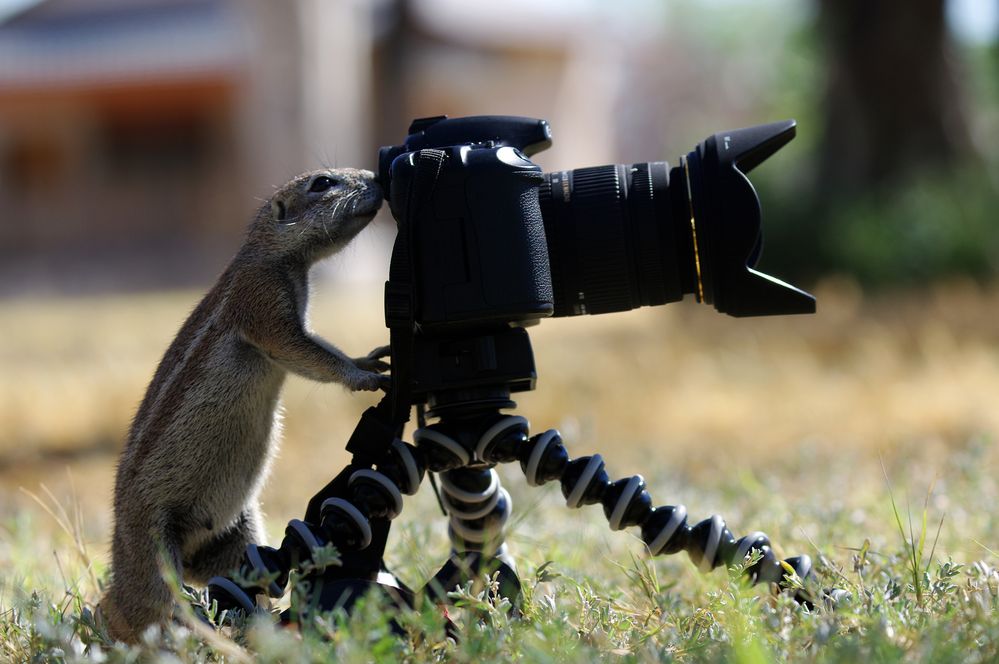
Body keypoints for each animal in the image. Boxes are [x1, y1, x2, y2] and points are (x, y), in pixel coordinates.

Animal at [101, 167, 388, 644]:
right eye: (322, 182)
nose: (376, 177)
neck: (272, 257)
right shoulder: (264, 305)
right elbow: (307, 355)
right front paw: (364, 376)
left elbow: (317, 348)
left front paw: (368, 360)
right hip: (153, 550)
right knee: (150, 605)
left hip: (239, 531)